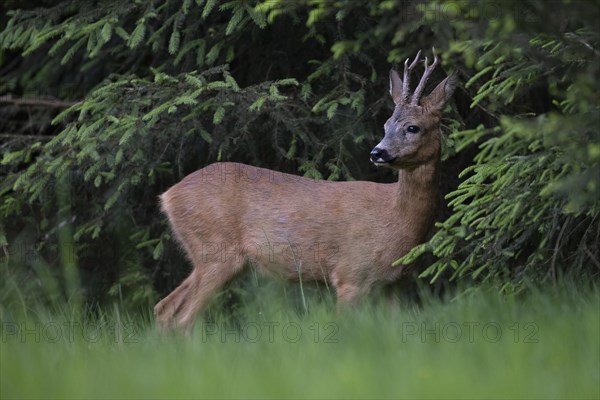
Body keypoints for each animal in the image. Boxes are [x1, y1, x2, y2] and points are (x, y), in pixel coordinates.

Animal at [156, 49, 460, 332]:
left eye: (413, 127)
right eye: (386, 125)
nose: (377, 153)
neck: (395, 219)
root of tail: (167, 196)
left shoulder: (395, 283)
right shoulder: (351, 274)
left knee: (164, 308)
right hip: (215, 250)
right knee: (182, 319)